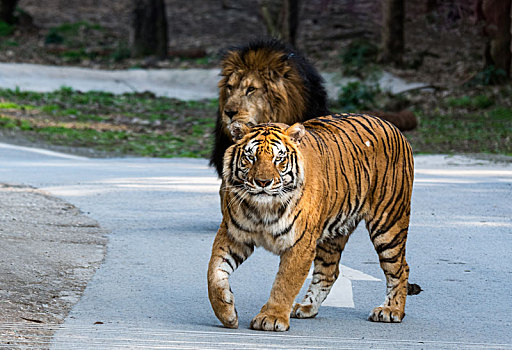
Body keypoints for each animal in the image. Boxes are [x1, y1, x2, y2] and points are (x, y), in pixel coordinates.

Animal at [207, 114, 416, 330]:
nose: (263, 182)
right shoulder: (232, 234)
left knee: (400, 268)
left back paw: (391, 310)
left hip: (388, 224)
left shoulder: (300, 243)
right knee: (329, 271)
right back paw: (307, 307)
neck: (263, 209)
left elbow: (285, 283)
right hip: (334, 233)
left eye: (278, 158)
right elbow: (214, 273)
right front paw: (226, 312)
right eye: (251, 157)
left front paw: (271, 317)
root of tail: (392, 126)